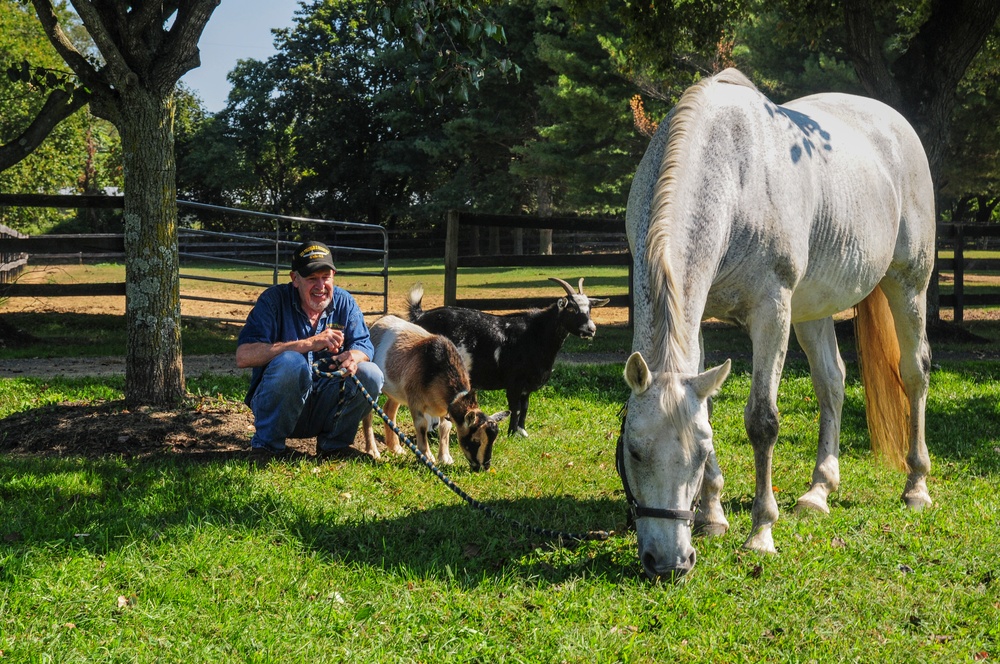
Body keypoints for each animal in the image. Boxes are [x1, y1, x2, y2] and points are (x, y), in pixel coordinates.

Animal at [362, 314, 508, 470]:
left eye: (493, 441)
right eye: (475, 441)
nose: (484, 467)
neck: (436, 369)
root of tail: (377, 322)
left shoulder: (445, 408)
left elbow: (445, 427)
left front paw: (445, 458)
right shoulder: (415, 401)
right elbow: (422, 425)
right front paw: (427, 456)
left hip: (396, 392)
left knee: (389, 410)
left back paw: (396, 448)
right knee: (368, 415)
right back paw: (372, 451)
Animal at [406, 278, 608, 438]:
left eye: (590, 308)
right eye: (571, 309)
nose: (591, 329)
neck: (534, 335)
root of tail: (420, 315)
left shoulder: (527, 386)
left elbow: (525, 407)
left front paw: (522, 431)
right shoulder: (514, 382)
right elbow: (514, 407)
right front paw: (512, 433)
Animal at [620, 68, 932, 580]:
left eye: (698, 453)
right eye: (634, 450)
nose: (669, 563)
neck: (732, 173)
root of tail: (896, 124)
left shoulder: (772, 310)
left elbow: (762, 420)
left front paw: (761, 533)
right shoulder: (699, 320)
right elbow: (709, 406)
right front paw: (712, 516)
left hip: (908, 286)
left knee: (914, 374)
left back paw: (916, 486)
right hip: (815, 309)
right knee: (832, 382)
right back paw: (818, 492)